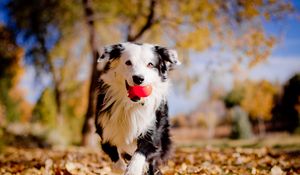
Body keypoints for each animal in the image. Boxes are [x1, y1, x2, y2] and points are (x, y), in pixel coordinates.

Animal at [96, 42, 179, 175]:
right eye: (128, 62)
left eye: (150, 64)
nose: (138, 78)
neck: (131, 104)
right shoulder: (105, 131)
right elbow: (116, 162)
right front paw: (122, 168)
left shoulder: (152, 133)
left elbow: (139, 154)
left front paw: (133, 169)